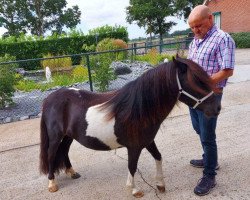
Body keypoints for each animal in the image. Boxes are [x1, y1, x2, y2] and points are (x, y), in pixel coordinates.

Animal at [39, 55, 221, 197]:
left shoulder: (148, 141)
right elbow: (132, 166)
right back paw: (52, 184)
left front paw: (160, 185)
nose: (217, 108)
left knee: (64, 151)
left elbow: (158, 157)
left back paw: (72, 172)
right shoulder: (134, 147)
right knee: (51, 154)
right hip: (55, 137)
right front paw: (134, 190)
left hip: (68, 136)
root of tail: (49, 98)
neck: (139, 109)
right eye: (196, 82)